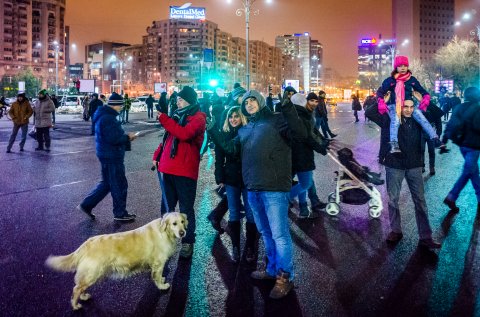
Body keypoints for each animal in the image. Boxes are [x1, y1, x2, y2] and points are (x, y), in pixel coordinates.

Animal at [45, 211, 188, 308]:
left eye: (182, 222)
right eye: (174, 224)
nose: (182, 233)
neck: (165, 232)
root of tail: (86, 244)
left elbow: (158, 276)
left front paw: (162, 280)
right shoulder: (158, 262)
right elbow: (157, 277)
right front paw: (162, 286)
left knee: (80, 288)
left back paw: (84, 297)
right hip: (92, 273)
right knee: (76, 288)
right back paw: (76, 305)